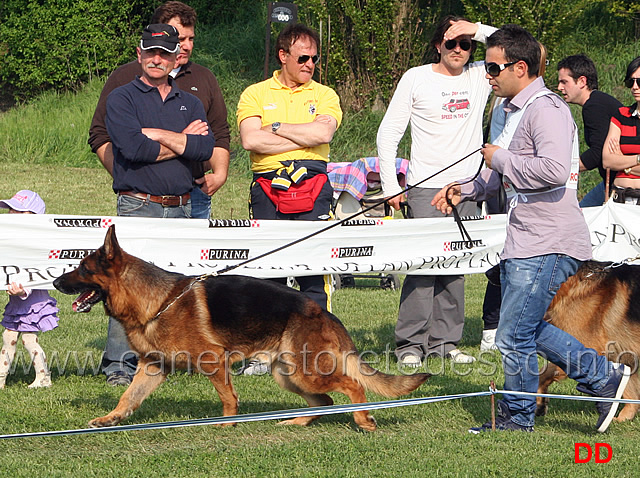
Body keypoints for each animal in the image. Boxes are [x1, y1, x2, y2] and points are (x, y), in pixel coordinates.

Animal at [53, 226, 430, 432]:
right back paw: (296, 422)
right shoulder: (152, 368)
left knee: (352, 386)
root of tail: (322, 312)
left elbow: (227, 397)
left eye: (82, 268)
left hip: (306, 372)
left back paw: (363, 419)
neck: (156, 301)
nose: (55, 282)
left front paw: (227, 424)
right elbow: (128, 396)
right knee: (323, 401)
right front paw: (110, 419)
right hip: (287, 374)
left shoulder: (213, 361)